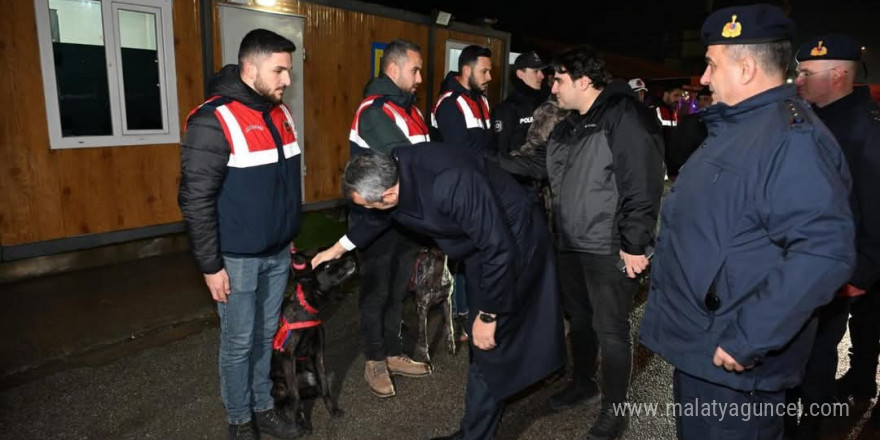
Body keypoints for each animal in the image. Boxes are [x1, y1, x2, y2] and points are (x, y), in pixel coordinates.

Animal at [274, 248, 360, 434]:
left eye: (336, 259)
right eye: (327, 266)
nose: (351, 257)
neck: (306, 307)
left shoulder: (318, 352)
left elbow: (325, 386)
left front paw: (332, 410)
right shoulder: (288, 357)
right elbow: (295, 397)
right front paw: (302, 423)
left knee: (314, 389)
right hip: (280, 385)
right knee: (281, 399)